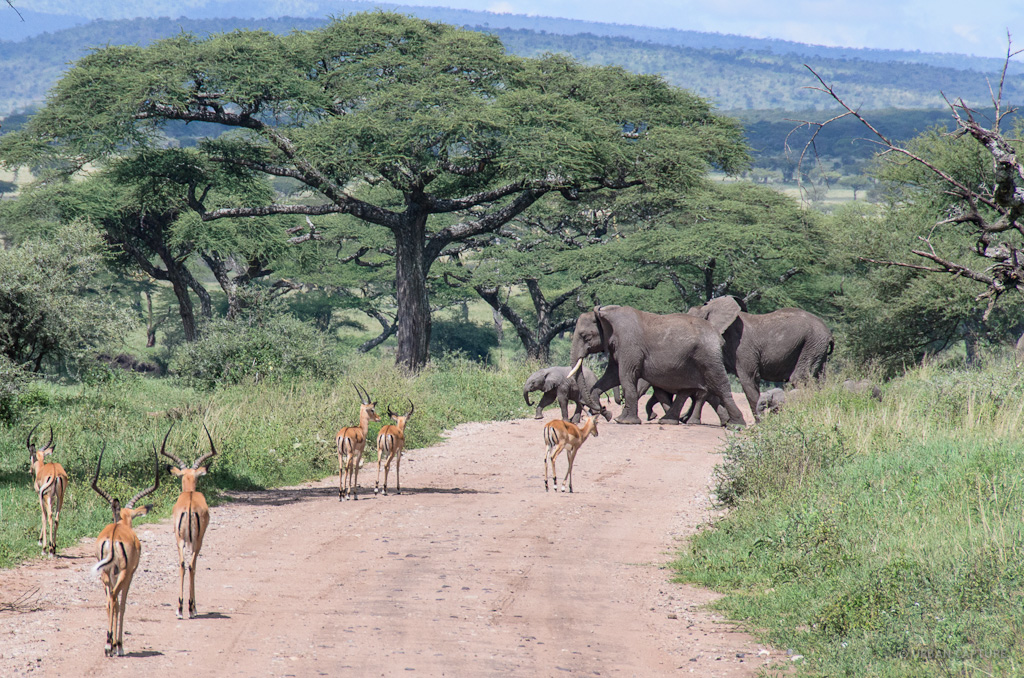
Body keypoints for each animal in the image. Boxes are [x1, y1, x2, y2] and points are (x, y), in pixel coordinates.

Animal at [27, 426, 67, 557]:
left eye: (30, 456)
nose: (30, 471)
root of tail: (55, 472)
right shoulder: (52, 498)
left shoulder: (40, 496)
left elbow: (43, 516)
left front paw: (41, 543)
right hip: (60, 497)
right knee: (56, 518)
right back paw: (53, 547)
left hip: (46, 496)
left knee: (48, 516)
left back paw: (48, 549)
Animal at [92, 440, 161, 659]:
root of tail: (114, 535)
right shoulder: (130, 573)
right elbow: (123, 605)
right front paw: (119, 645)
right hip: (122, 573)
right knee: (115, 600)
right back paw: (112, 646)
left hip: (105, 573)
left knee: (108, 600)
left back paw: (108, 644)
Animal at [158, 426, 217, 622]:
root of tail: (190, 505)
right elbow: (195, 565)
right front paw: (194, 607)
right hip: (195, 541)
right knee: (191, 565)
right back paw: (190, 609)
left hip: (180, 540)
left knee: (182, 564)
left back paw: (180, 609)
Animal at [569, 307, 745, 428]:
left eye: (585, 336)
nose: (604, 408)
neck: (605, 313)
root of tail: (718, 336)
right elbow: (611, 377)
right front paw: (604, 410)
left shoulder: (628, 345)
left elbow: (624, 376)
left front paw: (624, 421)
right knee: (687, 389)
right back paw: (668, 421)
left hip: (709, 356)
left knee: (720, 386)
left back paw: (736, 425)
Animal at [688, 297, 831, 419]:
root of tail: (829, 333)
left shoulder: (742, 348)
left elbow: (749, 380)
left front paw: (760, 425)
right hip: (818, 349)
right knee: (819, 379)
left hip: (812, 343)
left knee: (800, 378)